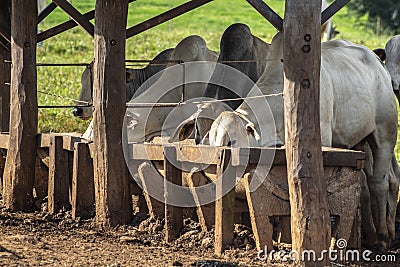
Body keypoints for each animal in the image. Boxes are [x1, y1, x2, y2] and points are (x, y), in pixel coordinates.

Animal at [208, 33, 398, 251]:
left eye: (231, 142)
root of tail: (377, 62)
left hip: (385, 133)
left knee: (379, 183)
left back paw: (383, 237)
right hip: (359, 140)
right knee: (366, 189)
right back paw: (371, 235)